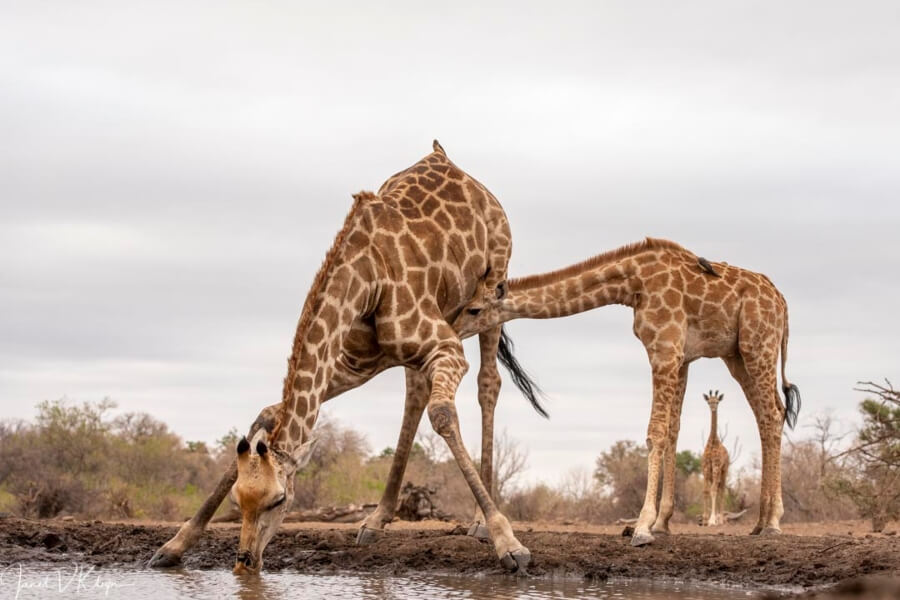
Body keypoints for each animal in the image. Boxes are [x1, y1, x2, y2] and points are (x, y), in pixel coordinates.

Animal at [454, 237, 804, 548]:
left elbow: (655, 432)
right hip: (737, 355)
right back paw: (760, 522)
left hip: (757, 346)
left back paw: (773, 522)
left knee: (772, 413)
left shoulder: (664, 350)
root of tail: (783, 303)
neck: (631, 283)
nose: (452, 329)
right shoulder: (681, 356)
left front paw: (643, 527)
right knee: (770, 414)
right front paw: (662, 522)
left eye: (474, 309)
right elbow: (673, 431)